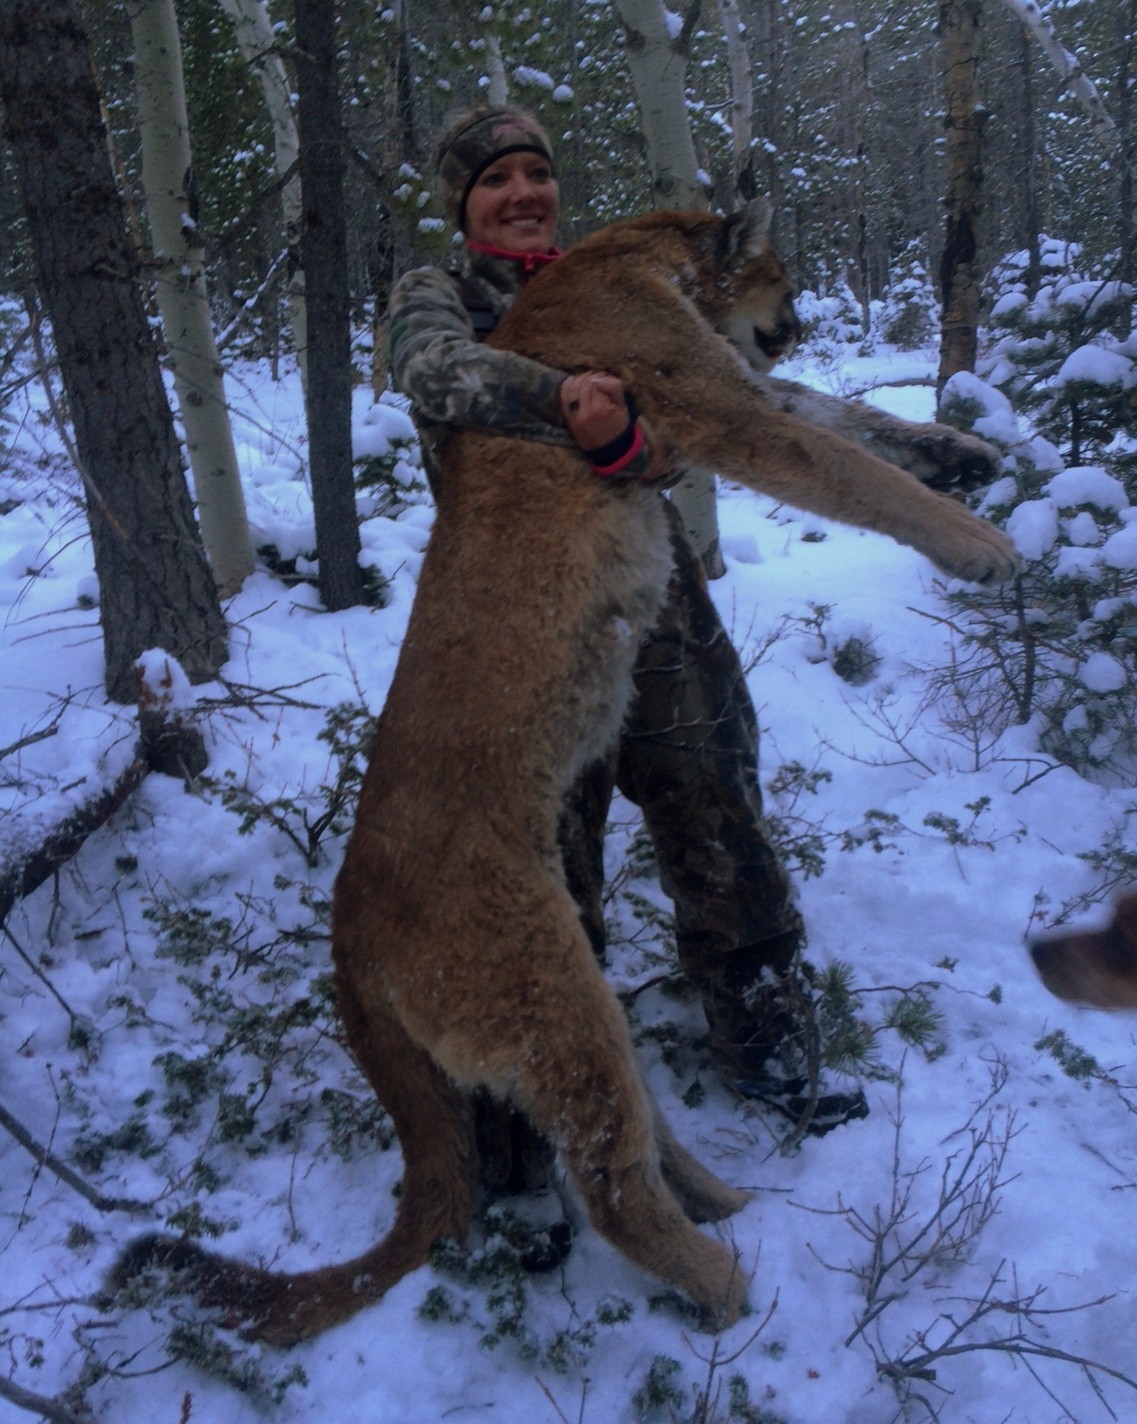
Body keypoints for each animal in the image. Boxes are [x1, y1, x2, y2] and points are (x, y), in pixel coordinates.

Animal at [112, 201, 1018, 1343]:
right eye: (782, 273)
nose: (800, 323)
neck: (640, 251)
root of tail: (347, 930)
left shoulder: (739, 385)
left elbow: (853, 420)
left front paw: (966, 448)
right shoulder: (713, 402)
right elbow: (843, 462)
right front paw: (981, 545)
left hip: (575, 984)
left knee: (624, 1128)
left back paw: (724, 1197)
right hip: (546, 996)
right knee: (609, 1178)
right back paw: (731, 1284)